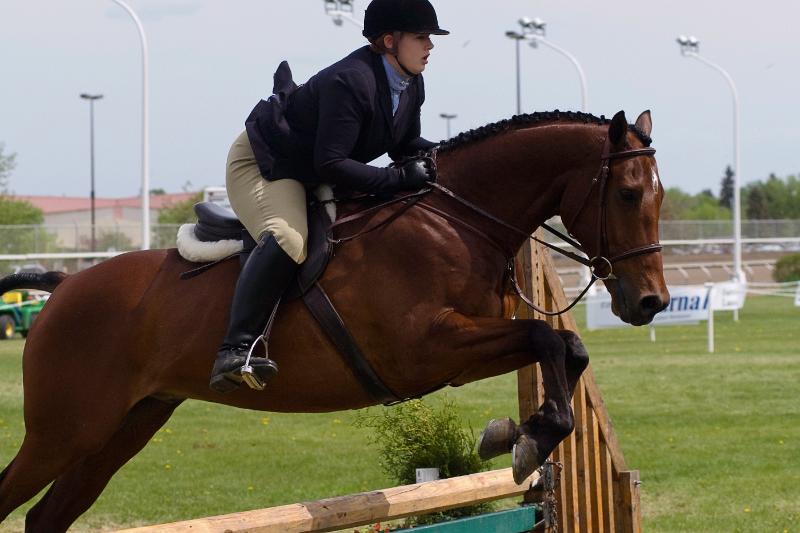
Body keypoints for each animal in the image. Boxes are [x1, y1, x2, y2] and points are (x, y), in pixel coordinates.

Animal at [0, 108, 668, 528]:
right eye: (628, 193)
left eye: (660, 197)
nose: (651, 303)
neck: (455, 221)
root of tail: (64, 286)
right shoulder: (425, 349)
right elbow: (543, 337)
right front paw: (527, 438)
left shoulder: (459, 354)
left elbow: (564, 347)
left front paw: (520, 434)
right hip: (65, 431)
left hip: (125, 427)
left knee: (46, 515)